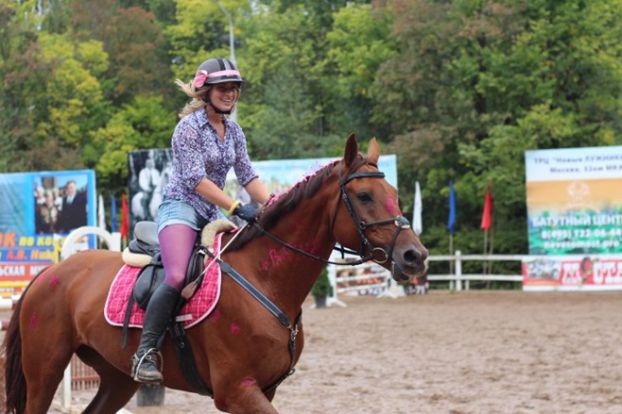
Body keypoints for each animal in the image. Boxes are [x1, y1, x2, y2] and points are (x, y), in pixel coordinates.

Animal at [2, 134, 428, 412]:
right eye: (364, 196)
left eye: (393, 192)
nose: (415, 256)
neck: (263, 281)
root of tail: (49, 274)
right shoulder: (237, 390)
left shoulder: (261, 390)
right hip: (46, 372)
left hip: (116, 377)